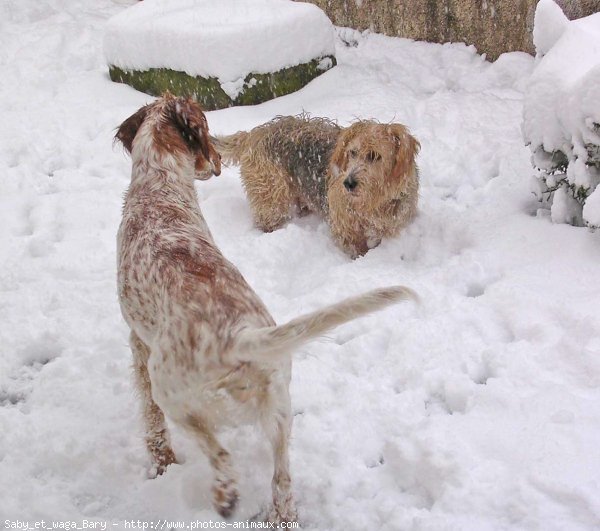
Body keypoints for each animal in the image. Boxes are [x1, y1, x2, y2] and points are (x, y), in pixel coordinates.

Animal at [213, 115, 420, 260]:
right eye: (352, 153)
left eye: (374, 156)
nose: (348, 183)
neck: (374, 202)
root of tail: (254, 134)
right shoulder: (346, 230)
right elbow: (356, 249)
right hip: (270, 195)